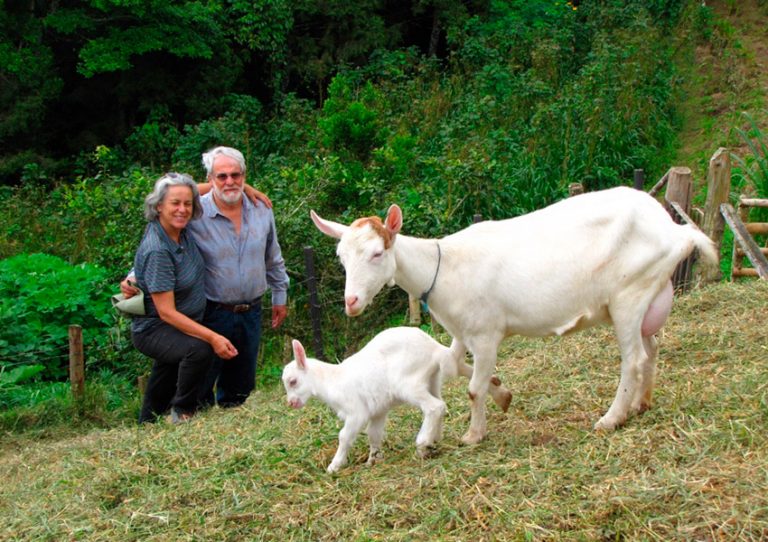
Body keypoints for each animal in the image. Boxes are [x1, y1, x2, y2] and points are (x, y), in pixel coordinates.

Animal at [280, 328, 450, 476]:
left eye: (293, 381)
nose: (291, 403)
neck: (331, 380)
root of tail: (435, 348)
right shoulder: (378, 410)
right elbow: (373, 434)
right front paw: (373, 460)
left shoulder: (356, 413)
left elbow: (344, 436)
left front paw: (334, 466)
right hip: (432, 380)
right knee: (441, 404)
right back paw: (434, 440)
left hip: (409, 384)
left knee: (434, 406)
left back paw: (422, 446)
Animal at [308, 187, 716, 446]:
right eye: (341, 257)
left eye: (377, 253)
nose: (352, 301)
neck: (442, 267)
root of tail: (675, 230)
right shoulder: (462, 331)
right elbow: (454, 366)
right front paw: (502, 394)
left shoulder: (487, 332)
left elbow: (472, 387)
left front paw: (474, 434)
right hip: (648, 294)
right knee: (652, 348)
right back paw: (641, 403)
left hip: (629, 294)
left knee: (632, 359)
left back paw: (611, 418)